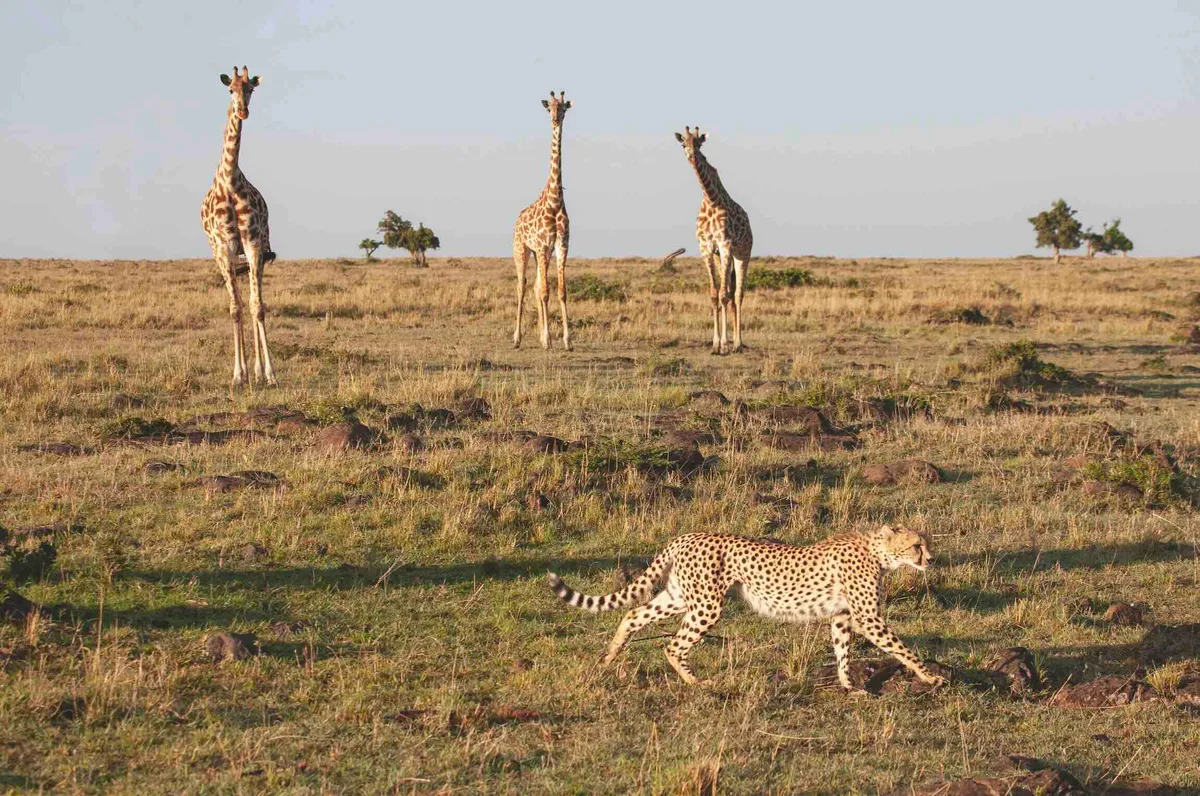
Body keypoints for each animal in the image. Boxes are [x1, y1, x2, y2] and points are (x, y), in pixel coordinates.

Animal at [675, 127, 753, 354]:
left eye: (699, 144)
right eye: (683, 144)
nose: (691, 156)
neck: (711, 199)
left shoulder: (725, 245)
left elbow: (724, 295)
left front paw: (725, 345)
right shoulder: (707, 248)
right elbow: (714, 293)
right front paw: (715, 344)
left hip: (743, 253)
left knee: (738, 294)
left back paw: (738, 343)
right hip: (721, 258)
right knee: (730, 292)